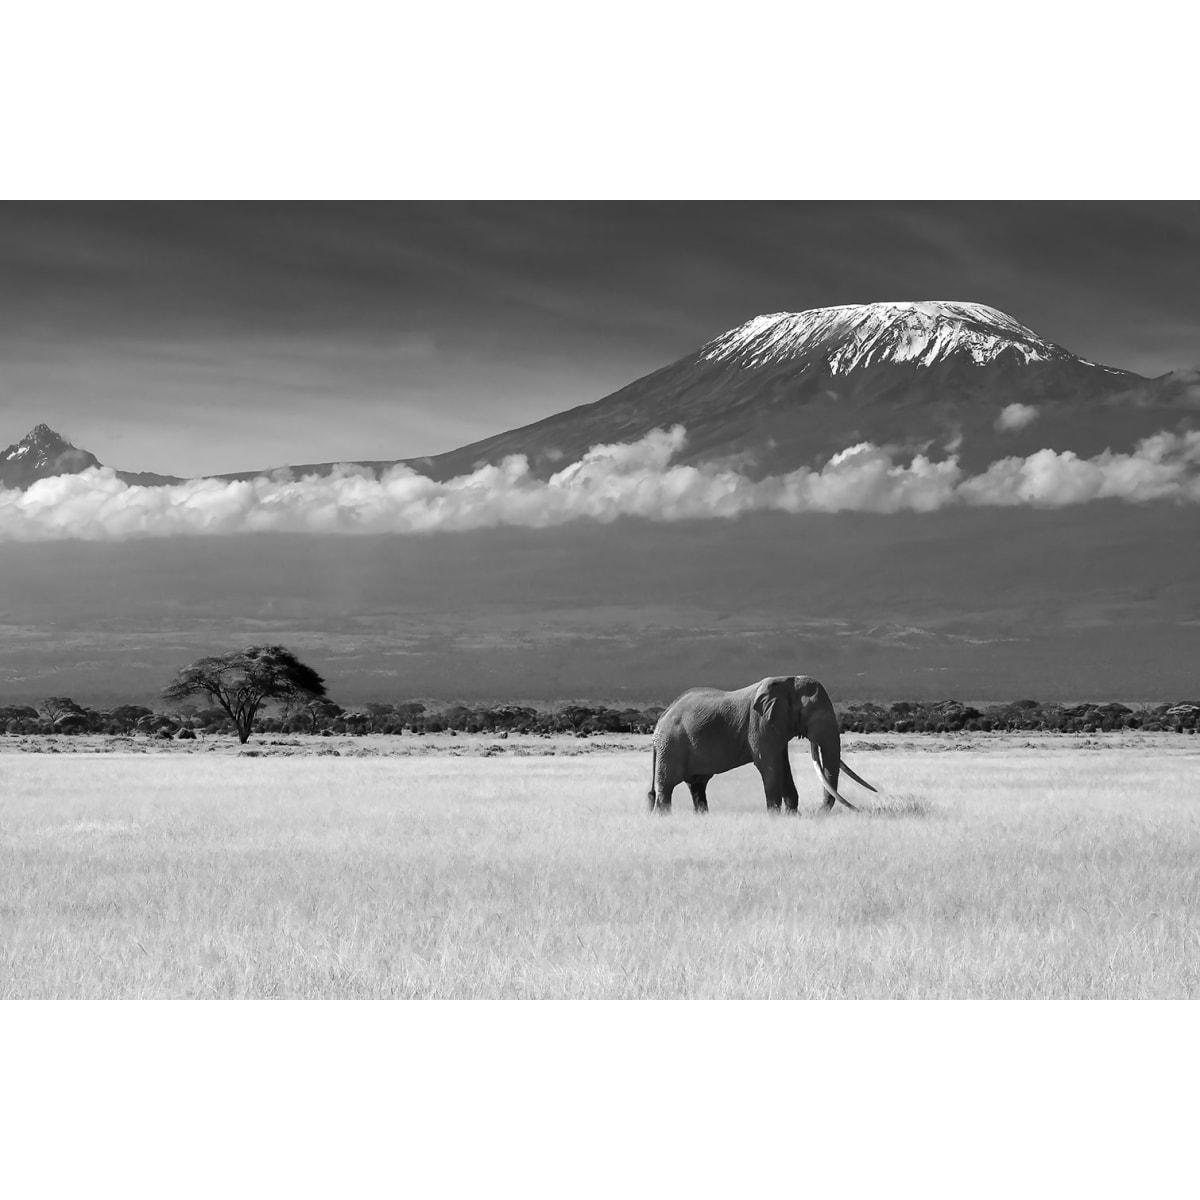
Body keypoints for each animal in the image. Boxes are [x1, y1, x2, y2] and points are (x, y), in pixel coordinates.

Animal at [647, 675, 876, 814]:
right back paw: (663, 816)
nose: (818, 814)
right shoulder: (760, 723)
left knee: (697, 786)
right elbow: (770, 766)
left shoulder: (777, 726)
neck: (787, 682)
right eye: (811, 713)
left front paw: (792, 816)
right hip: (671, 746)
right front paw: (775, 816)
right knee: (666, 787)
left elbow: (784, 767)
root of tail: (662, 717)